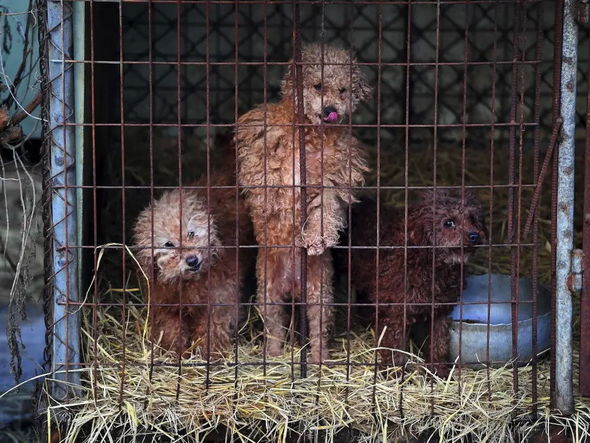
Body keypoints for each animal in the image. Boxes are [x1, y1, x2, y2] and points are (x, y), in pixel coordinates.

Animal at [133, 175, 253, 360]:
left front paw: (210, 354)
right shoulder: (165, 305)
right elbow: (170, 330)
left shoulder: (220, 299)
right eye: (168, 244)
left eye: (191, 233)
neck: (190, 282)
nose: (192, 260)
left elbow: (213, 329)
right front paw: (174, 353)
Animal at [235, 44, 370, 364]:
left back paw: (319, 360)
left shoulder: (333, 180)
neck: (310, 134)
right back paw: (273, 356)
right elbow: (267, 183)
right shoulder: (261, 149)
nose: (331, 111)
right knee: (274, 327)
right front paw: (272, 210)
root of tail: (293, 285)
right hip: (268, 291)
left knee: (318, 330)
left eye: (343, 90)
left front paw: (317, 240)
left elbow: (325, 210)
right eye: (317, 85)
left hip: (319, 294)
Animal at [352, 191, 486, 374]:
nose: (475, 236)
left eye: (472, 219)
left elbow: (438, 344)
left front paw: (438, 373)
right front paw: (394, 374)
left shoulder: (440, 311)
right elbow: (394, 348)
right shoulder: (394, 313)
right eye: (449, 222)